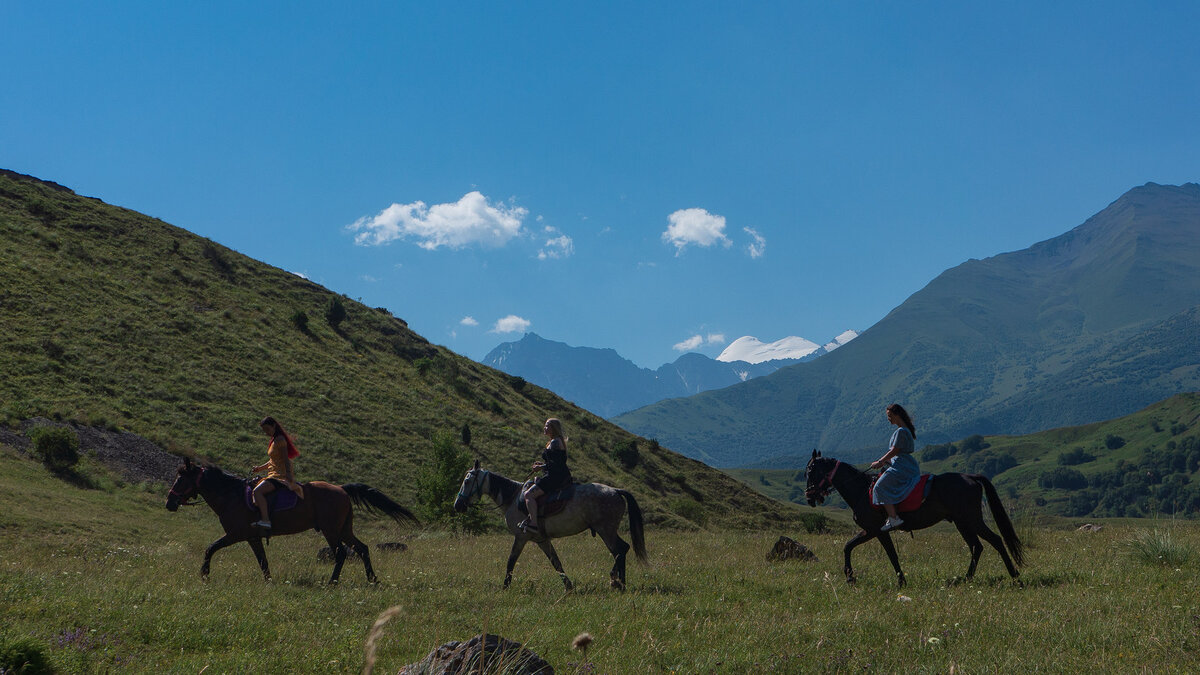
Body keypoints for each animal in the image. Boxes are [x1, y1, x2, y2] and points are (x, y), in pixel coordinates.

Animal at [164, 456, 417, 583]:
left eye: (181, 479)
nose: (169, 503)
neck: (231, 495)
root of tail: (341, 489)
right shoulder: (252, 538)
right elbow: (263, 561)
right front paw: (269, 581)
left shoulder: (235, 534)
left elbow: (210, 548)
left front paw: (204, 574)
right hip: (344, 529)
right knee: (362, 549)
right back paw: (372, 579)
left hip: (331, 530)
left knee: (341, 554)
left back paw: (332, 582)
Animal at [451, 456, 648, 588]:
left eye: (467, 481)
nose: (457, 505)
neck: (513, 498)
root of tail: (616, 490)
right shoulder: (542, 540)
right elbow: (556, 562)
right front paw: (568, 586)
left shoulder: (521, 537)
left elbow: (511, 561)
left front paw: (505, 586)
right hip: (606, 530)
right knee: (621, 550)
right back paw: (618, 581)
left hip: (605, 529)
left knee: (620, 549)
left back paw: (618, 582)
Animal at [806, 449, 1022, 586]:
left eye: (810, 471)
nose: (809, 497)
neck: (861, 490)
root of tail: (971, 477)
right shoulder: (868, 530)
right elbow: (848, 546)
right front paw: (850, 577)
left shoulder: (876, 530)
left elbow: (891, 555)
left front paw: (901, 581)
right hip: (962, 523)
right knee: (977, 546)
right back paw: (965, 578)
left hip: (972, 520)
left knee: (996, 540)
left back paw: (1015, 577)